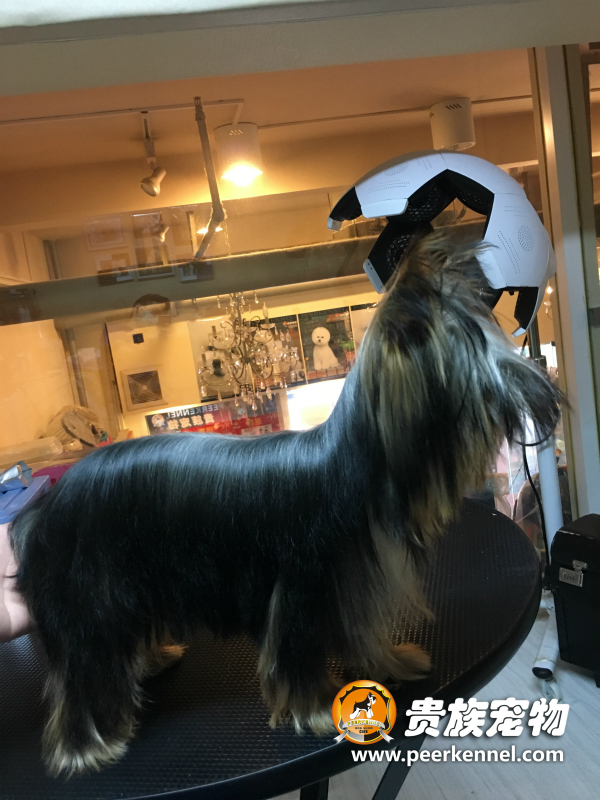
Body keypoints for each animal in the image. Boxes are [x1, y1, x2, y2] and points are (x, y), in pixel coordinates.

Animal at [9, 233, 561, 777]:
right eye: (489, 377)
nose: (546, 395)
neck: (351, 471)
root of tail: (41, 511)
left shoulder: (350, 580)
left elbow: (362, 634)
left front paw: (392, 665)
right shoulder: (301, 588)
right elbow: (298, 658)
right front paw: (316, 711)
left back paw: (150, 659)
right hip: (89, 595)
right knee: (83, 671)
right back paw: (87, 746)